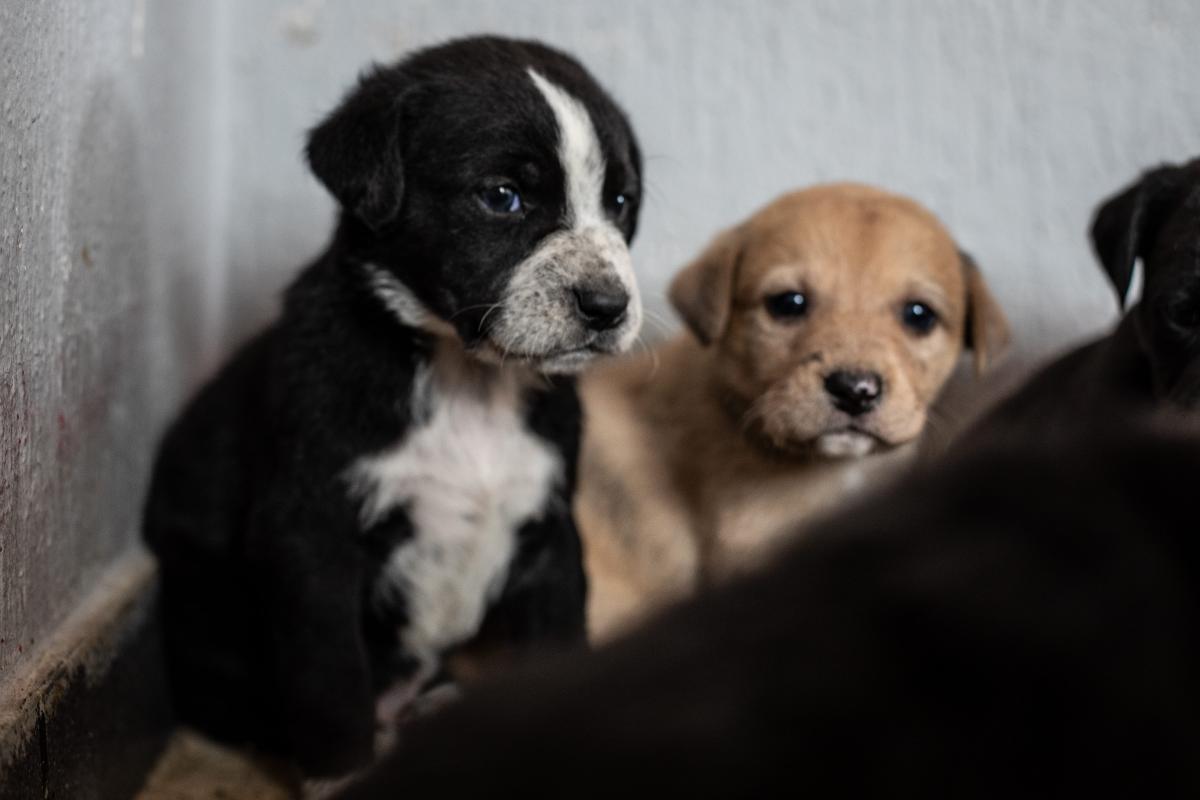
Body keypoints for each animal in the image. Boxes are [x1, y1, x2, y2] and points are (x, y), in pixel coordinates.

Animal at [140, 35, 643, 777]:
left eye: (620, 201)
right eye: (503, 196)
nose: (608, 306)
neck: (466, 378)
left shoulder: (549, 538)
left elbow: (560, 652)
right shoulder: (311, 542)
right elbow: (331, 691)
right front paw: (344, 777)